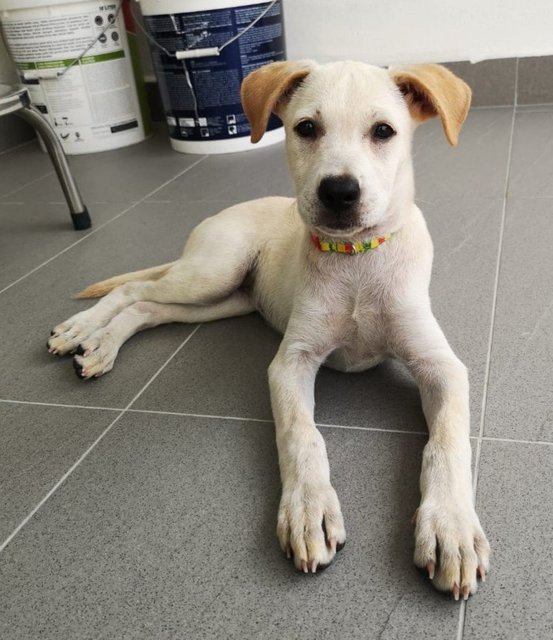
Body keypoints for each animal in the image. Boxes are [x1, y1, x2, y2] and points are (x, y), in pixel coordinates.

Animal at [47, 58, 488, 600]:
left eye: (384, 131)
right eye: (306, 128)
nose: (339, 192)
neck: (355, 263)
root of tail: (217, 218)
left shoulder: (441, 365)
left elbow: (446, 441)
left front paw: (451, 527)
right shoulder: (291, 361)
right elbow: (301, 434)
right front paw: (308, 509)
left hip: (223, 300)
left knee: (148, 308)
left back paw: (101, 345)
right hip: (213, 272)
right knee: (132, 291)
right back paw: (83, 331)